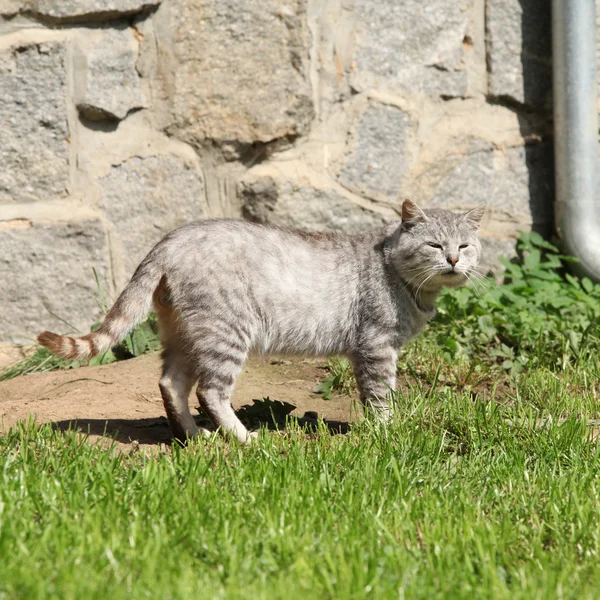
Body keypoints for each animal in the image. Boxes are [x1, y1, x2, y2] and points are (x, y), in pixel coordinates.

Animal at [37, 199, 486, 442]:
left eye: (465, 245)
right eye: (434, 245)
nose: (453, 259)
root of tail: (171, 239)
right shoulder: (376, 346)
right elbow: (380, 396)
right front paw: (386, 433)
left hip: (185, 334)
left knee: (170, 383)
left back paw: (194, 436)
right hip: (225, 333)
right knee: (210, 392)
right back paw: (242, 438)